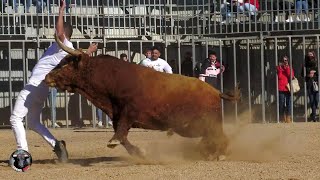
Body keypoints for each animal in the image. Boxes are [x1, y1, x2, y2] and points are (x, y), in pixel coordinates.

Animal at [44, 35, 240, 160]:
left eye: (66, 64)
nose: (47, 77)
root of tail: (215, 92)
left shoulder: (128, 112)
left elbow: (119, 134)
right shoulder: (118, 116)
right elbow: (122, 137)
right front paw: (140, 153)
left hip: (203, 124)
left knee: (220, 137)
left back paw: (218, 154)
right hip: (190, 127)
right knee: (212, 138)